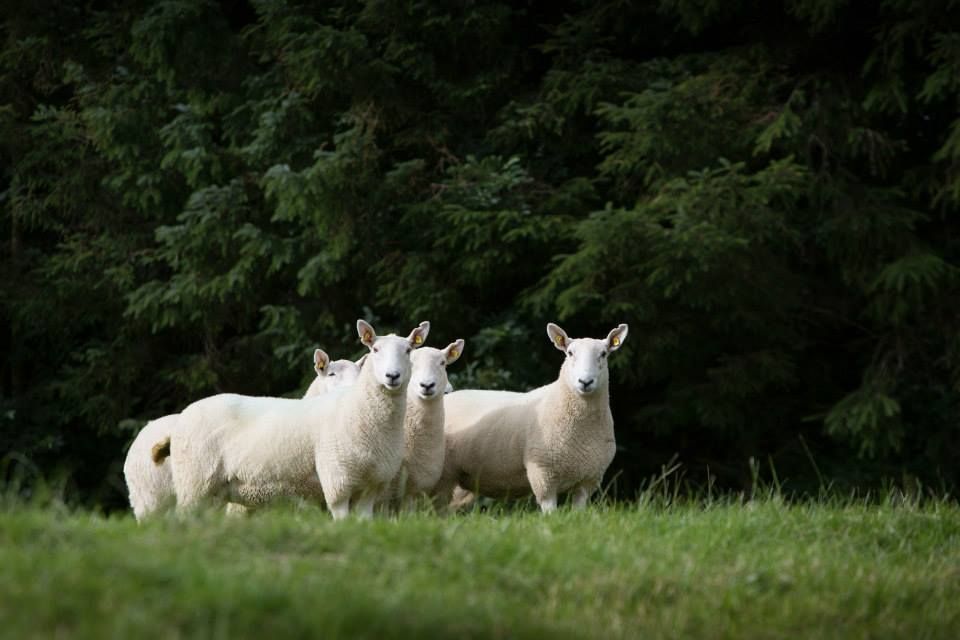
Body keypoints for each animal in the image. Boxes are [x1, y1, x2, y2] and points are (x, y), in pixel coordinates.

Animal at [158, 320, 429, 520]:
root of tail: (186, 414)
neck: (358, 411)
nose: (392, 376)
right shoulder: (337, 481)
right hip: (194, 481)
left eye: (408, 351)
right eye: (375, 350)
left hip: (212, 489)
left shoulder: (373, 484)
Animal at [436, 322, 628, 513]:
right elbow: (551, 513)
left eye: (603, 354)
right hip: (443, 474)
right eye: (570, 353)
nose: (585, 382)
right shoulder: (543, 475)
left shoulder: (588, 480)